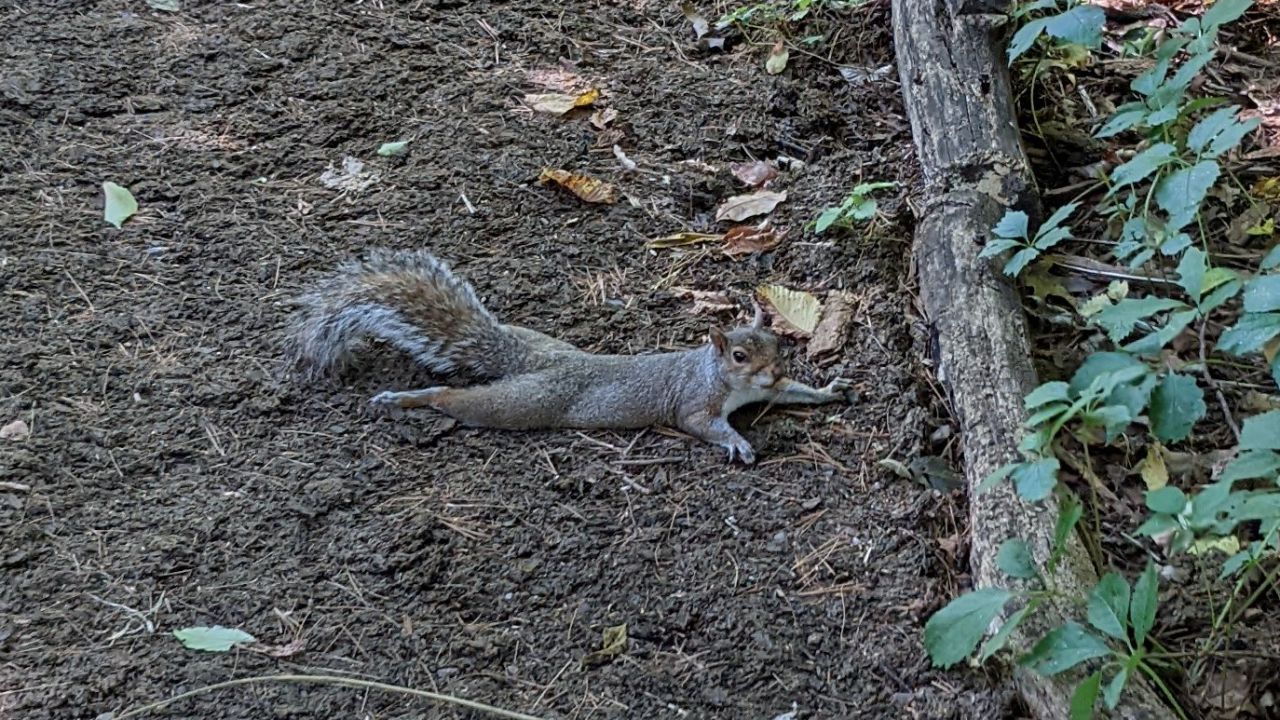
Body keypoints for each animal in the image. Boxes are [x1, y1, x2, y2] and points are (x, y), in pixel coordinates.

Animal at [283, 248, 853, 464]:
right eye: (737, 354)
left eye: (779, 344)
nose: (774, 369)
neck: (731, 385)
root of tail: (540, 364)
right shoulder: (696, 400)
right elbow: (699, 424)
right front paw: (736, 442)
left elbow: (795, 396)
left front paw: (827, 391)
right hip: (522, 403)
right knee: (458, 398)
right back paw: (409, 399)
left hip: (537, 345)